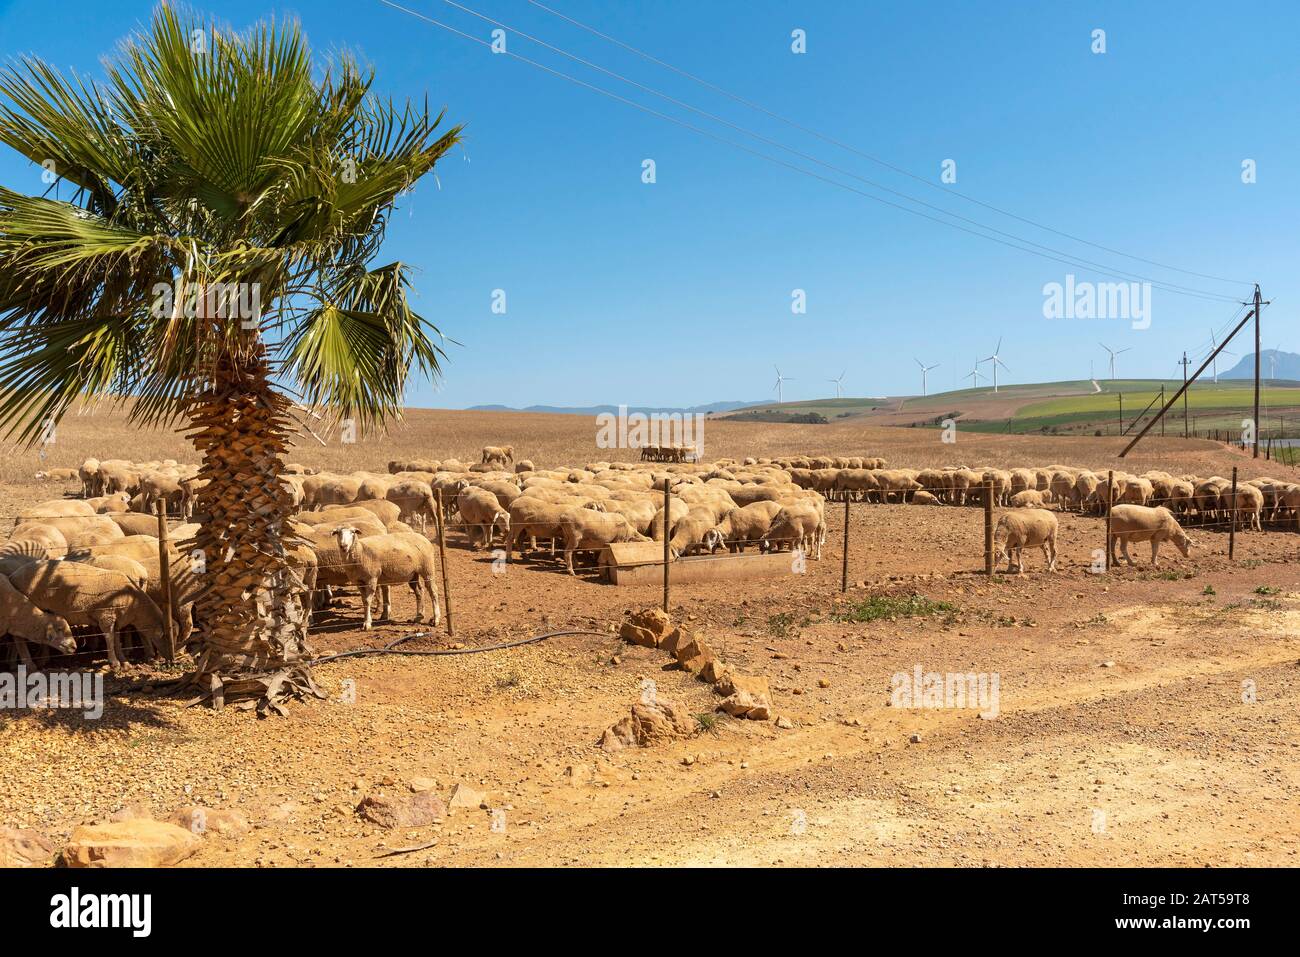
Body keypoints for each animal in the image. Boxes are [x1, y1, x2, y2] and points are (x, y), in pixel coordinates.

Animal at [9, 556, 167, 670]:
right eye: (164, 635)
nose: (166, 657)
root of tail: (13, 575)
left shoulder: (114, 619)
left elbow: (116, 639)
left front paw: (123, 661)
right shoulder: (106, 616)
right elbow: (110, 638)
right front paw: (114, 663)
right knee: (19, 635)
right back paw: (30, 662)